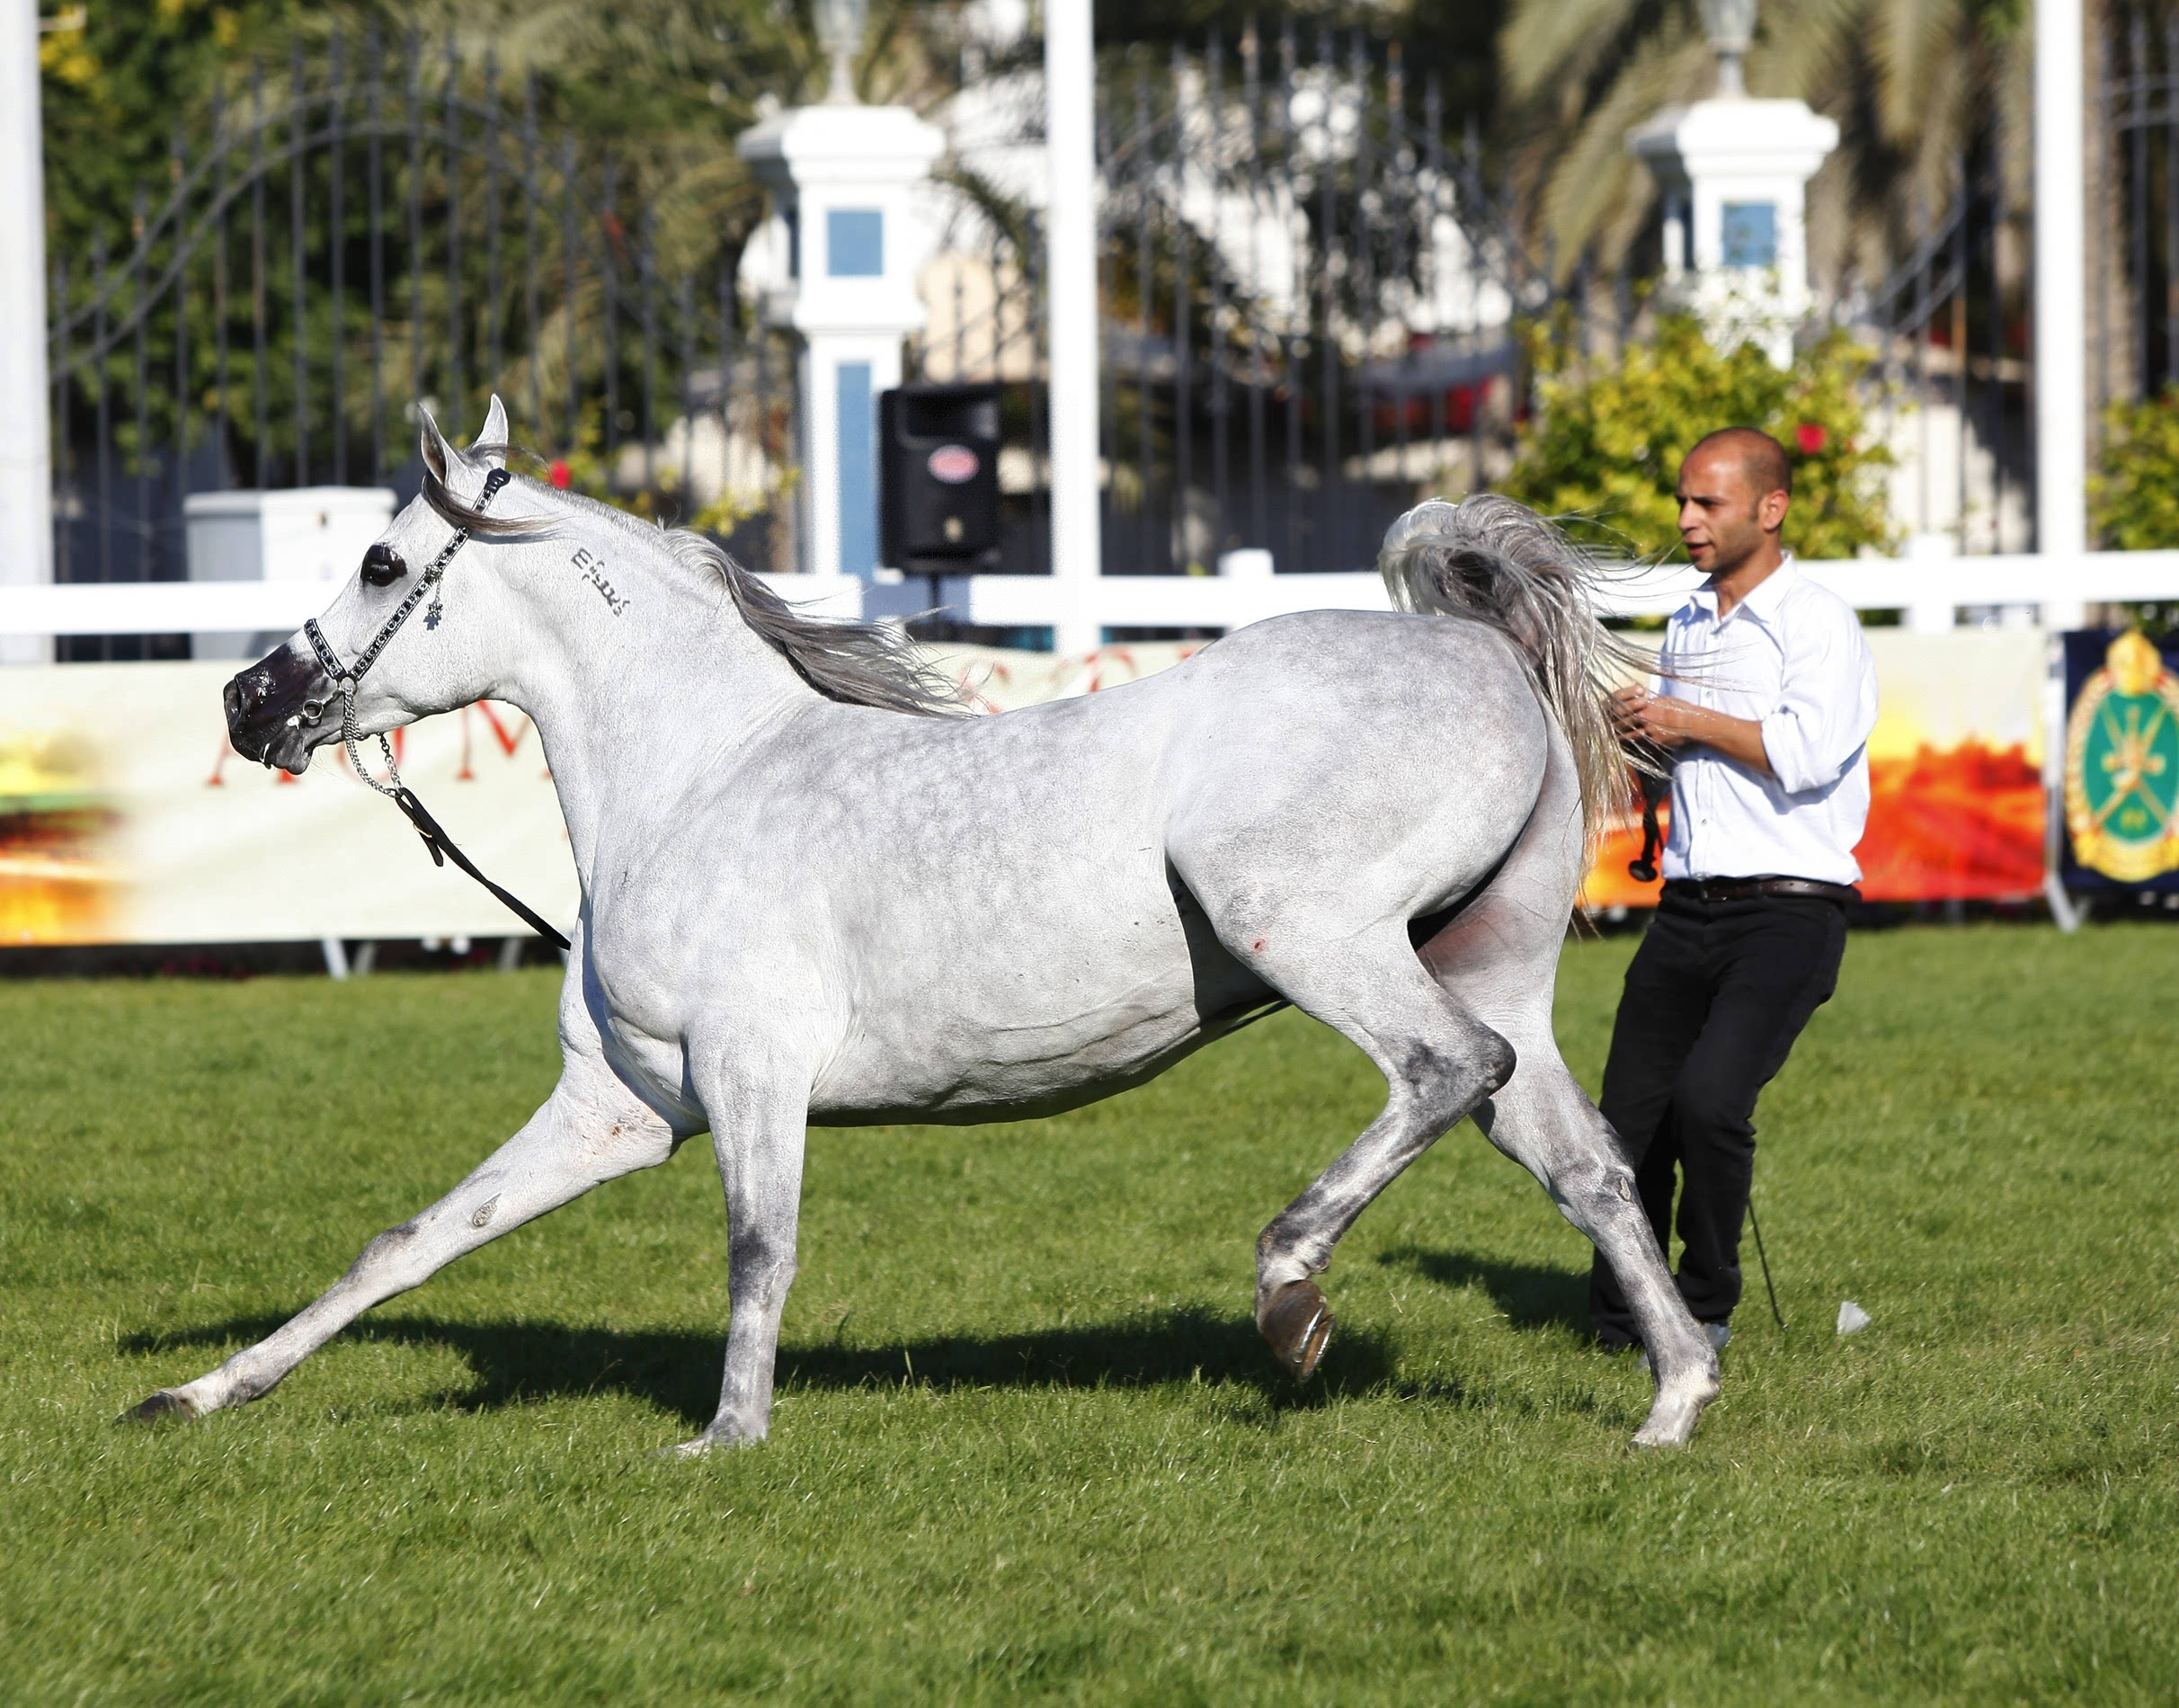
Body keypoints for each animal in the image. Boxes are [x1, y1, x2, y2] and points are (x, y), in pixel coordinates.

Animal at [123, 400, 1717, 1454]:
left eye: (384, 568)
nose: (249, 702)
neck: (701, 775)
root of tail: (1473, 649)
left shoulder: (753, 1074)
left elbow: (758, 1249)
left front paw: (727, 1439)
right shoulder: (618, 1107)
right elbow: (402, 1246)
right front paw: (196, 1394)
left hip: (1316, 939)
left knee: (1444, 1077)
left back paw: (1290, 1294)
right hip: (1493, 972)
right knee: (1589, 1166)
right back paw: (1675, 1401)